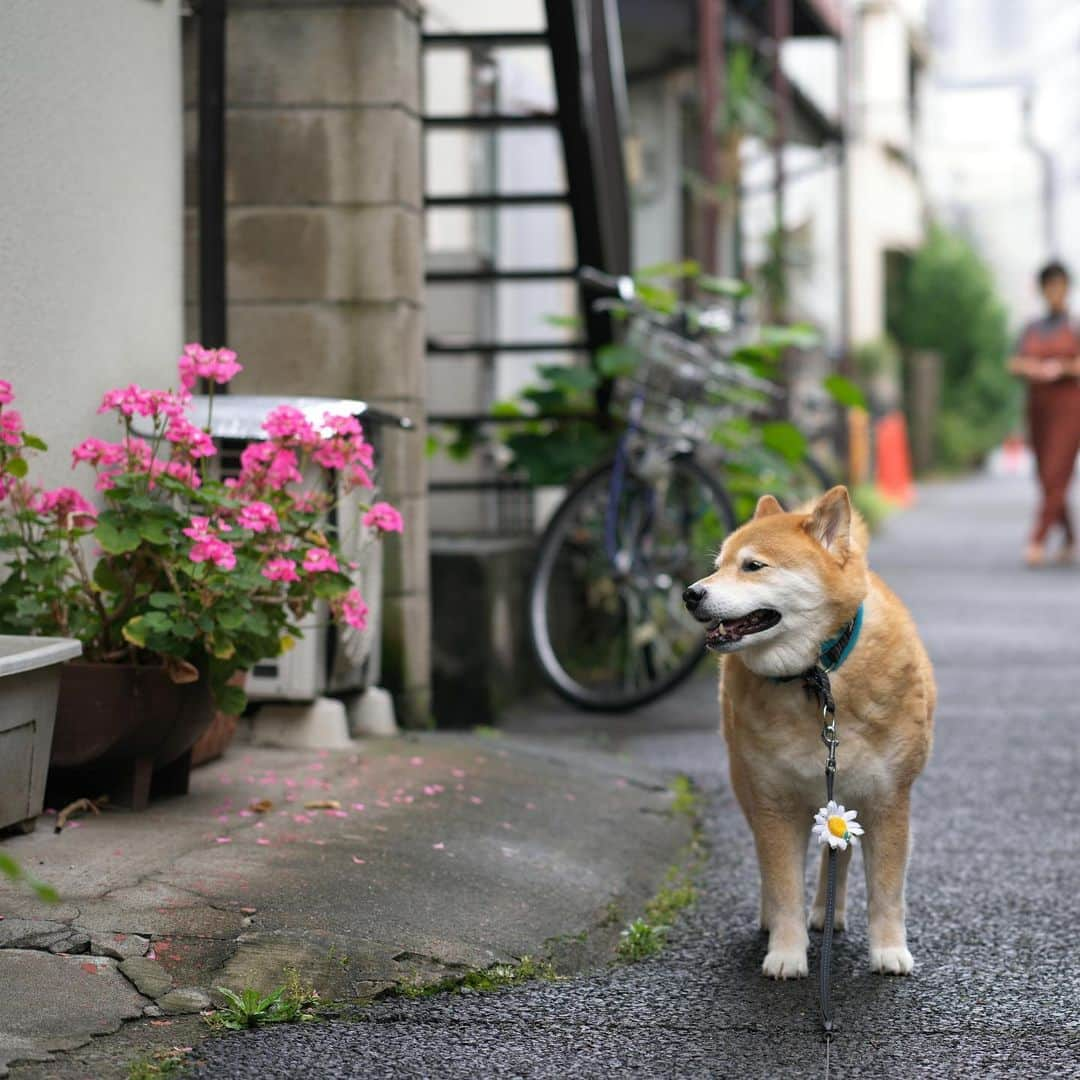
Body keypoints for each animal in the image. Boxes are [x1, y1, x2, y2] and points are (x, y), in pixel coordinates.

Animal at [686, 490, 933, 980]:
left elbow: (886, 890)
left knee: (840, 853)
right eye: (718, 565)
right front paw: (786, 952)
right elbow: (784, 887)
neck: (817, 677)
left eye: (753, 566)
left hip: (845, 797)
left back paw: (827, 912)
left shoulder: (888, 801)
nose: (691, 594)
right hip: (753, 788)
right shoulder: (775, 804)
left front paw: (889, 950)